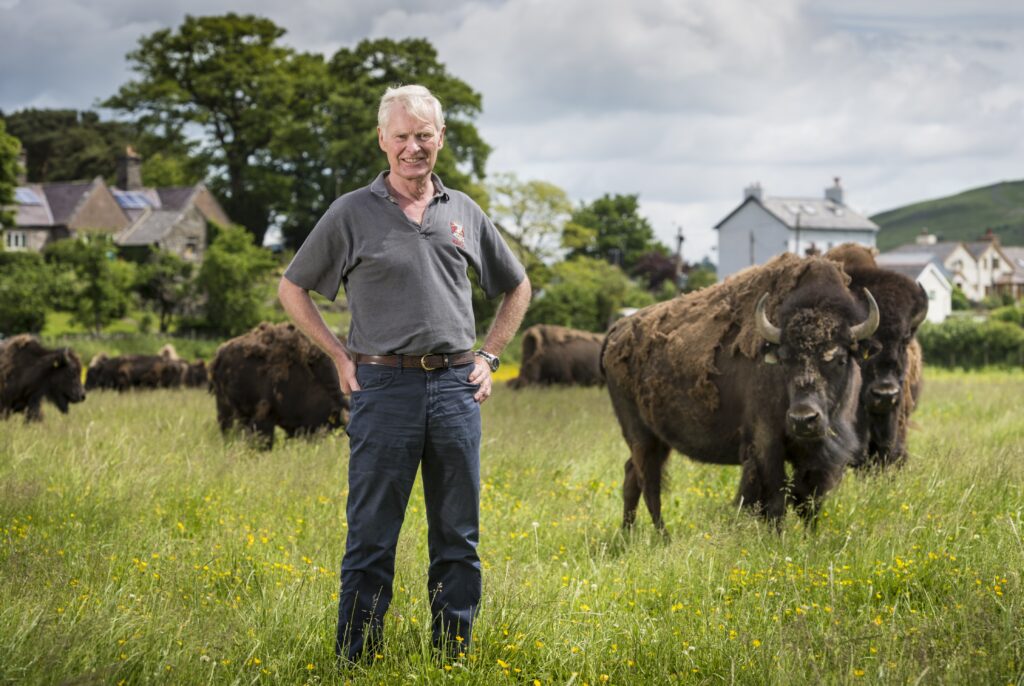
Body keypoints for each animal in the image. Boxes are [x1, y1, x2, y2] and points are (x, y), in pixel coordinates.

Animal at [598, 253, 880, 532]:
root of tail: (616, 330)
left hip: (657, 439)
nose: (803, 419)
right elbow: (776, 500)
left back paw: (628, 534)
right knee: (648, 484)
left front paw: (810, 537)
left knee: (632, 477)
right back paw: (662, 536)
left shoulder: (817, 458)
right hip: (641, 436)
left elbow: (809, 502)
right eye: (784, 359)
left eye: (840, 359)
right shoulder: (767, 444)